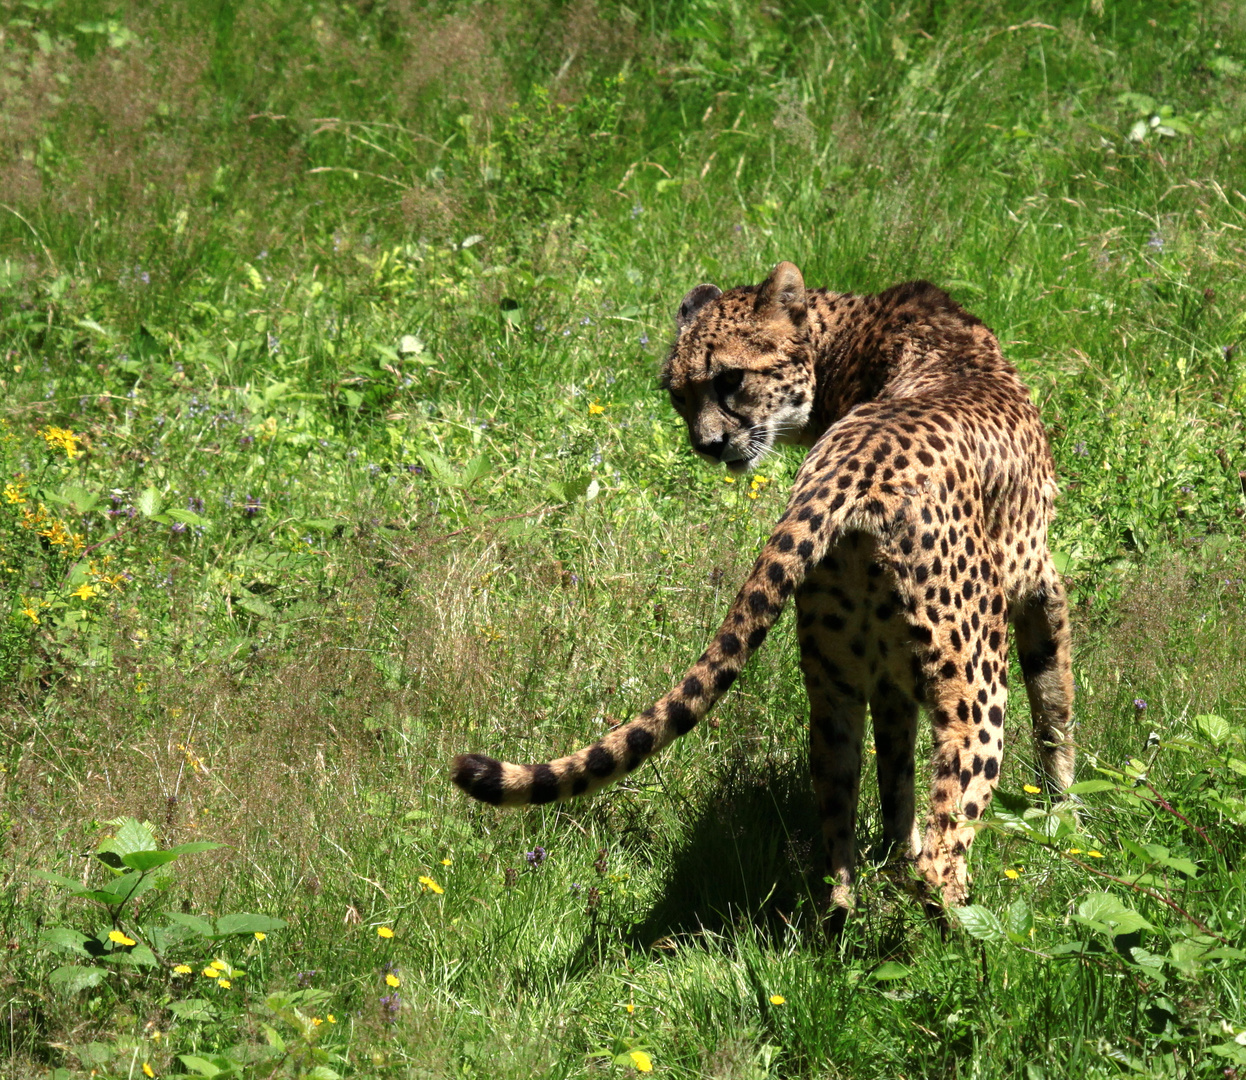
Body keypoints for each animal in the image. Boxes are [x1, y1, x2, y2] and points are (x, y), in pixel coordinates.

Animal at [453, 261, 1076, 911]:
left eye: (729, 379)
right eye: (680, 393)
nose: (707, 445)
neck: (844, 346)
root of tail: (849, 471)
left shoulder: (887, 675)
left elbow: (898, 778)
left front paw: (900, 850)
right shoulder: (1040, 585)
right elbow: (1054, 709)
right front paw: (1065, 819)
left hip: (831, 689)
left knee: (837, 849)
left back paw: (845, 924)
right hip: (973, 682)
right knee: (945, 847)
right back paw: (961, 926)